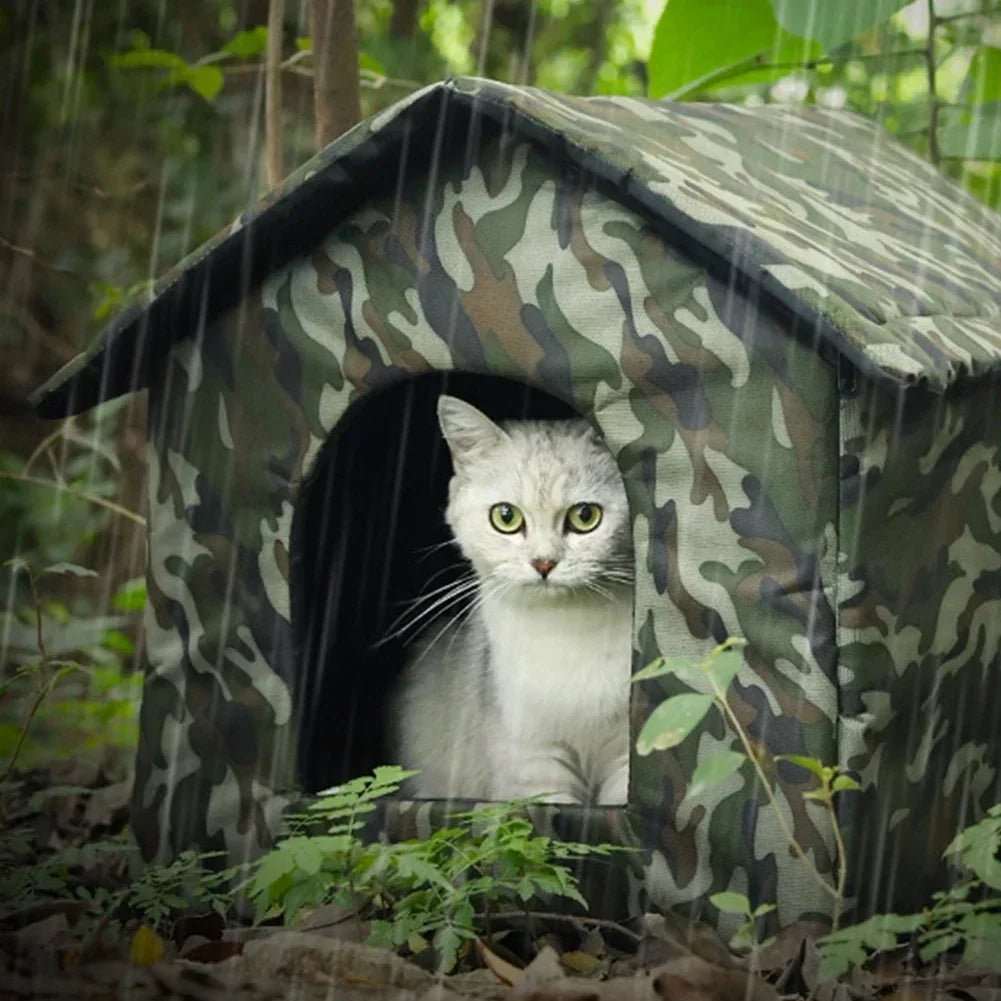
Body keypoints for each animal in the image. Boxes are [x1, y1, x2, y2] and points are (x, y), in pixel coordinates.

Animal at [384, 392, 632, 804]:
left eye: (585, 516)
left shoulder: (628, 754)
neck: (566, 629)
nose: (543, 563)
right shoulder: (532, 761)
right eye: (505, 517)